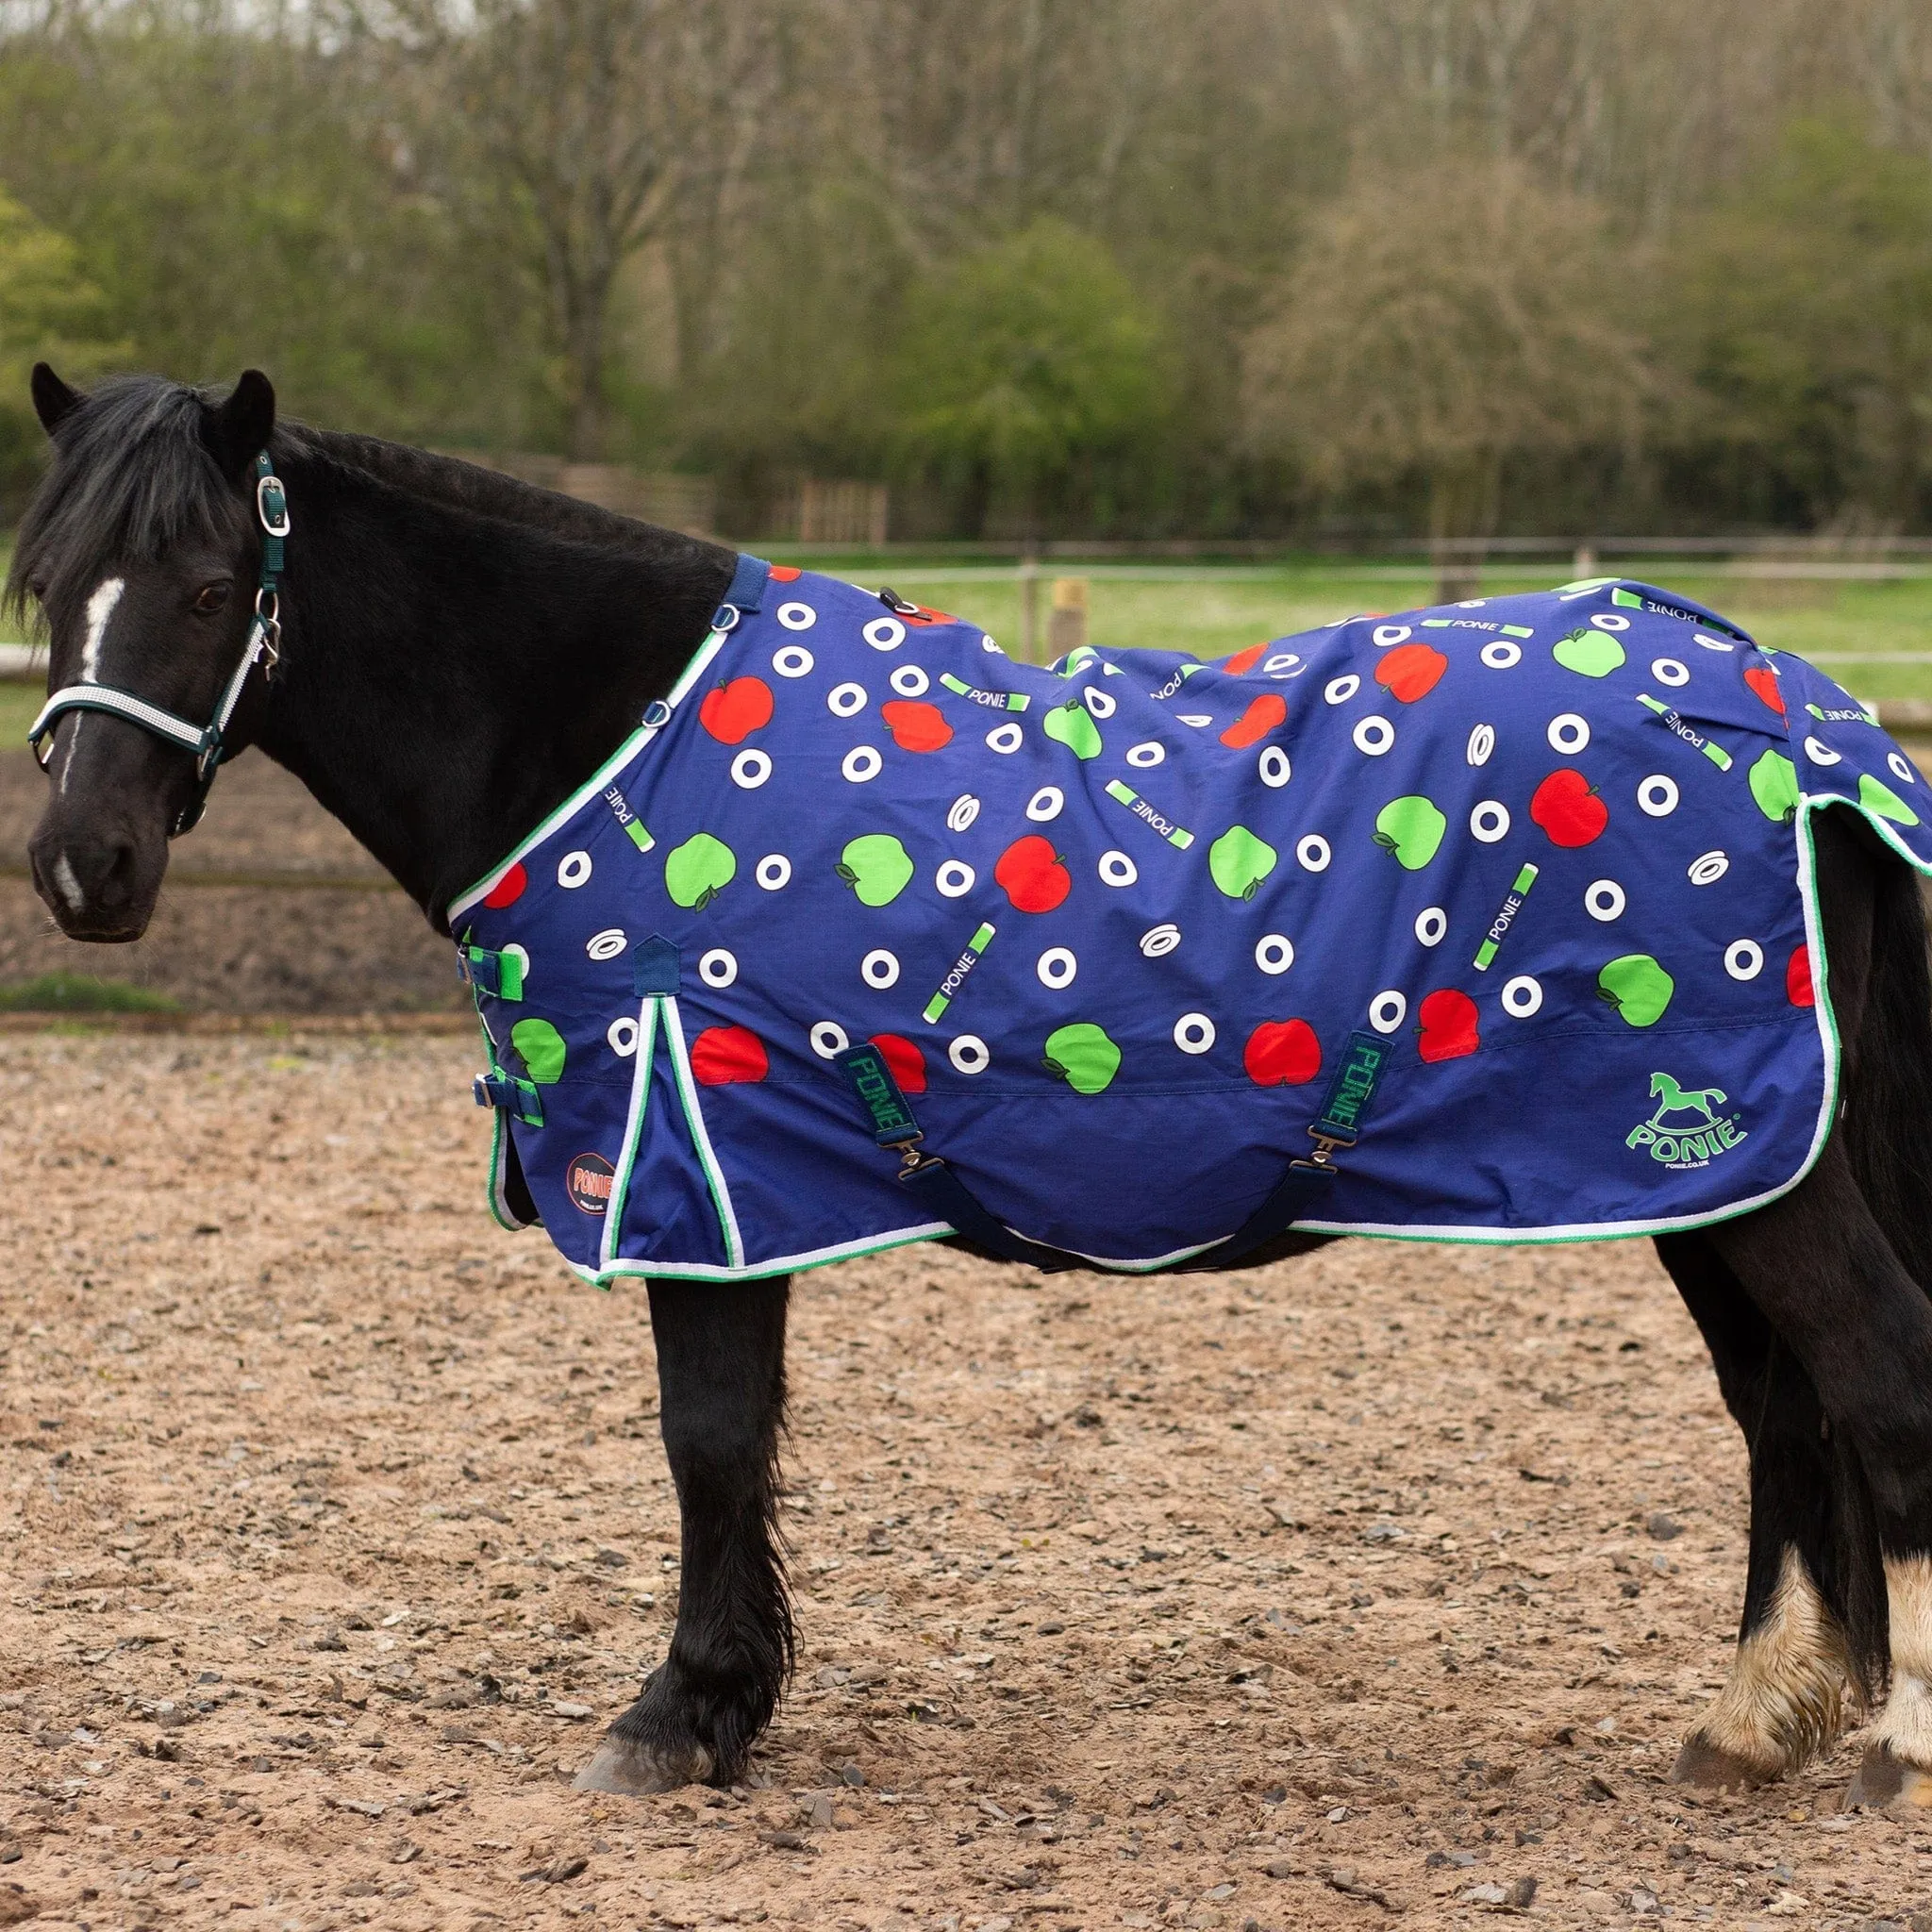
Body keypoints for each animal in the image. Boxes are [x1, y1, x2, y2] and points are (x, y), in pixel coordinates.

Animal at [12, 364, 1932, 1812]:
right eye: (47, 588)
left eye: (209, 589)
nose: (84, 868)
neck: (610, 738)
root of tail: (1792, 708)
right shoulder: (739, 1183)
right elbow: (730, 1443)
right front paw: (723, 1701)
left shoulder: (698, 1170)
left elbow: (708, 1436)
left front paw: (678, 1714)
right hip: (1700, 1162)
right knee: (1780, 1405)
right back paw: (1756, 1715)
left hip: (1733, 1146)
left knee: (1876, 1370)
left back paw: (1893, 1746)